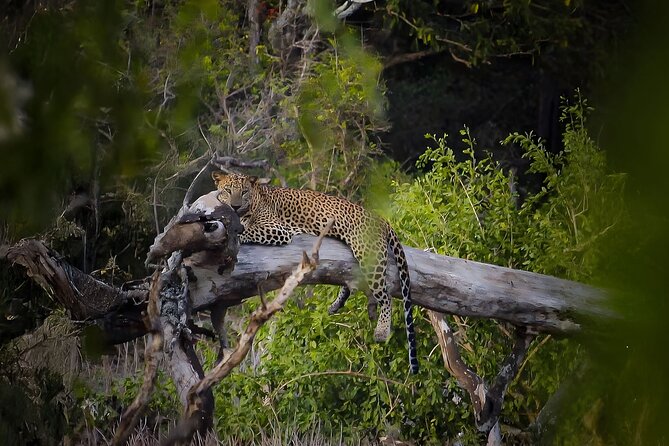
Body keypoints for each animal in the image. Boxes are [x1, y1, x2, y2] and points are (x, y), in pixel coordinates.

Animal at [212, 172, 418, 374]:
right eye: (228, 191)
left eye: (244, 191)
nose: (235, 206)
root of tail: (380, 219)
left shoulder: (277, 229)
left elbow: (245, 232)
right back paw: (336, 305)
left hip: (369, 254)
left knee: (386, 296)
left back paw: (382, 331)